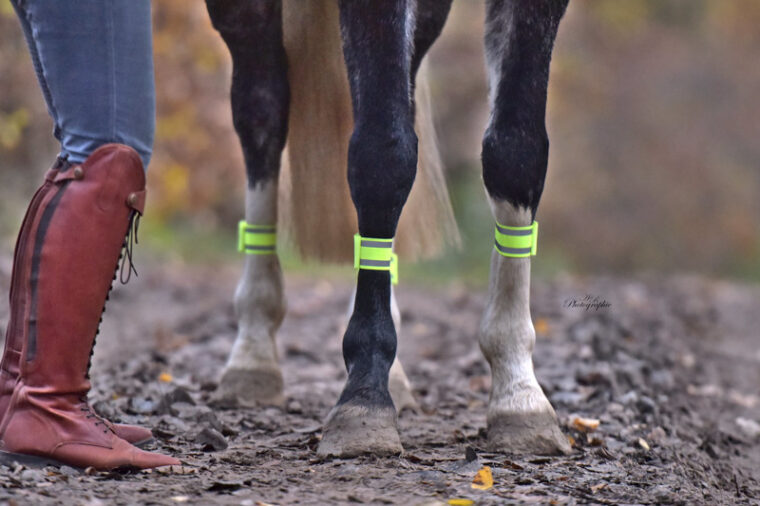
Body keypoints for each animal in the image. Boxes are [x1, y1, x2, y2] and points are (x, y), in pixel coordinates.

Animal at [203, 0, 568, 456]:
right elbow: (383, 155)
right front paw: (365, 398)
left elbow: (517, 153)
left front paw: (519, 395)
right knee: (261, 107)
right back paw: (253, 356)